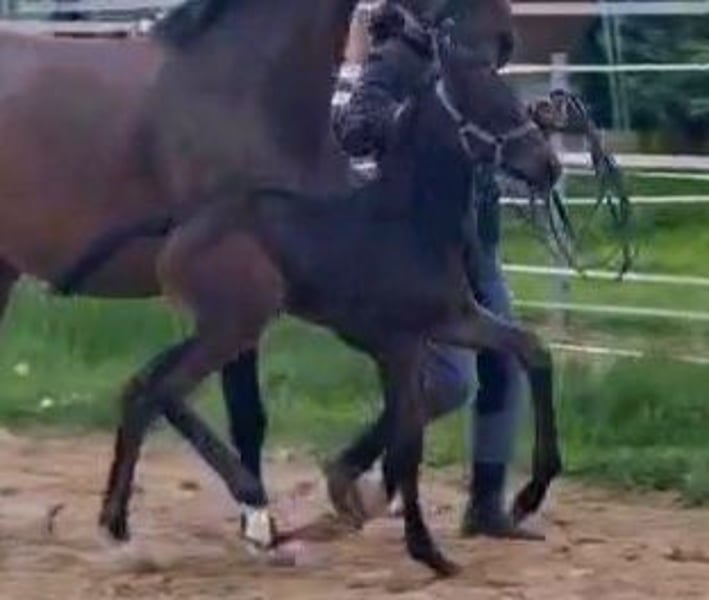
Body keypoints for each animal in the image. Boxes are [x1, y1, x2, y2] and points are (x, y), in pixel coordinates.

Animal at [69, 17, 562, 576]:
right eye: (486, 100)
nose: (549, 165)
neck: (409, 222)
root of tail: (182, 223)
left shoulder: (453, 319)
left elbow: (534, 350)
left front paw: (529, 496)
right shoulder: (400, 343)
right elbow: (406, 445)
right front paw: (428, 551)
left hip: (219, 327)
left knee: (142, 386)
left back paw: (117, 521)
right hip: (236, 324)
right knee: (163, 389)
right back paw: (235, 504)